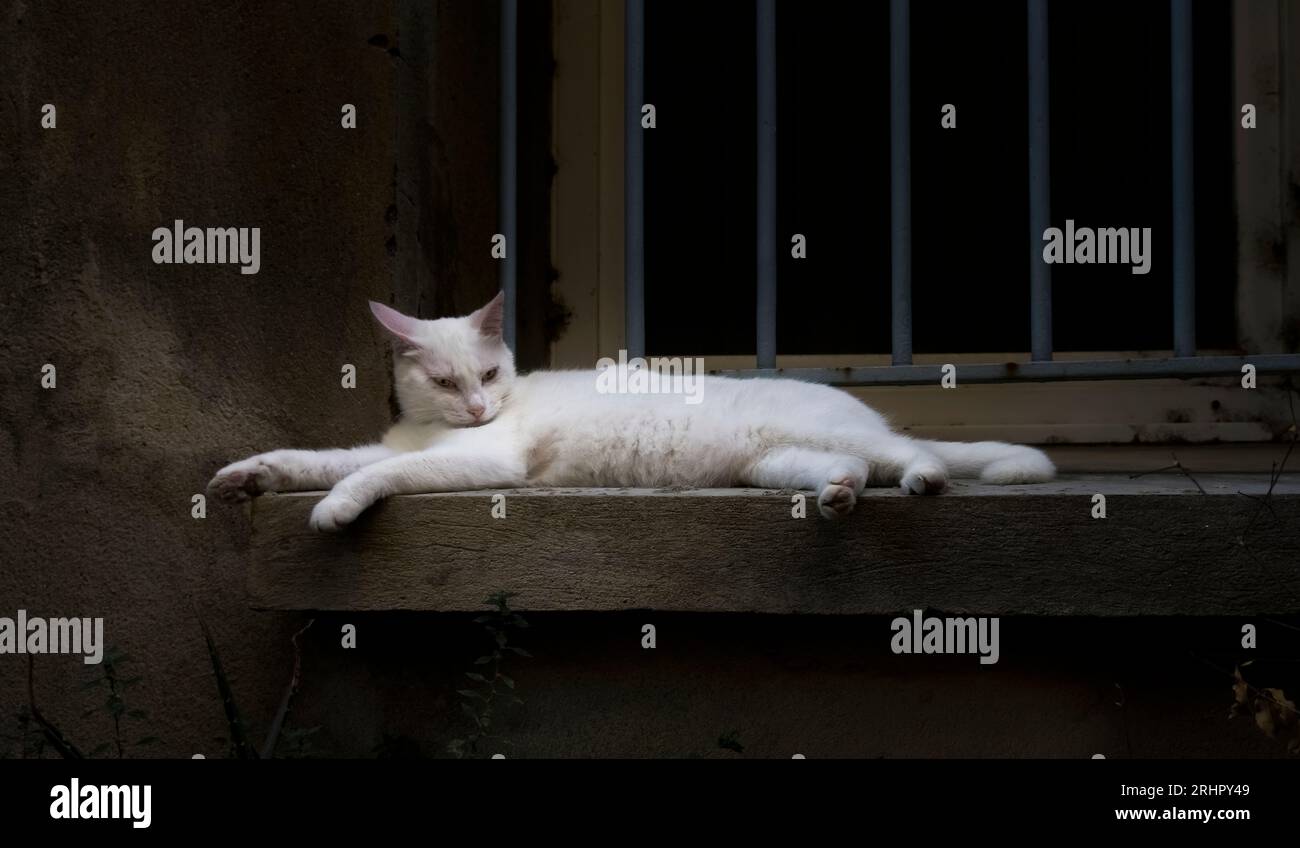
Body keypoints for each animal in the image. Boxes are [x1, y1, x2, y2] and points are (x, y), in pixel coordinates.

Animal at [208, 292, 1050, 530]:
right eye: (446, 383)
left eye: (490, 374)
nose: (477, 407)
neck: (437, 427)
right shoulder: (390, 445)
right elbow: (318, 460)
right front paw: (246, 478)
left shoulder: (484, 458)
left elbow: (373, 476)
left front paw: (334, 510)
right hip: (773, 463)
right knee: (846, 469)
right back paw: (837, 497)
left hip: (819, 434)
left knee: (912, 455)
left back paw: (924, 482)